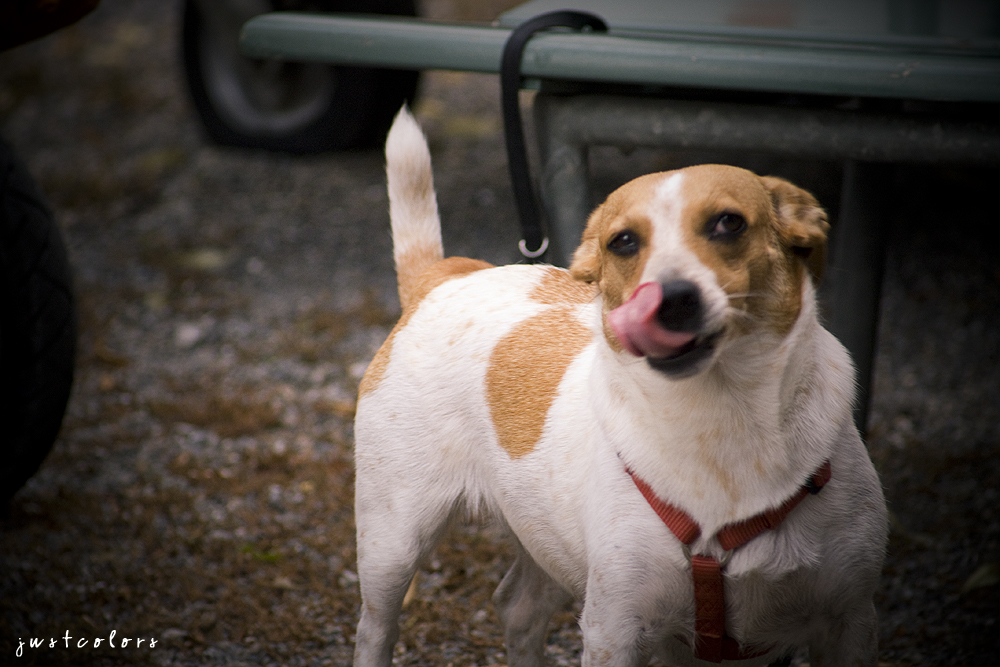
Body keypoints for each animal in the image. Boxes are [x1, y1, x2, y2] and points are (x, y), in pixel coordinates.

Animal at [354, 107, 892, 664]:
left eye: (729, 223)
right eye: (623, 242)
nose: (670, 299)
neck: (721, 419)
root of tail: (444, 275)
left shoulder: (849, 621)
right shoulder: (615, 626)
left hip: (546, 539)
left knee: (518, 608)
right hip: (393, 544)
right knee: (377, 627)